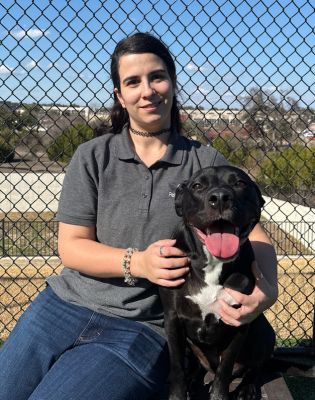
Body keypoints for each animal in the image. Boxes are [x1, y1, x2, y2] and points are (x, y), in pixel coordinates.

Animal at [160, 166, 274, 400]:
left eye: (240, 183)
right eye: (197, 186)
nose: (220, 197)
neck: (213, 265)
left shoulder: (239, 321)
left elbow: (225, 369)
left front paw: (219, 395)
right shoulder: (172, 319)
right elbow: (176, 366)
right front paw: (178, 393)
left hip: (264, 330)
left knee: (255, 367)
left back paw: (246, 388)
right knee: (197, 366)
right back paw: (193, 380)